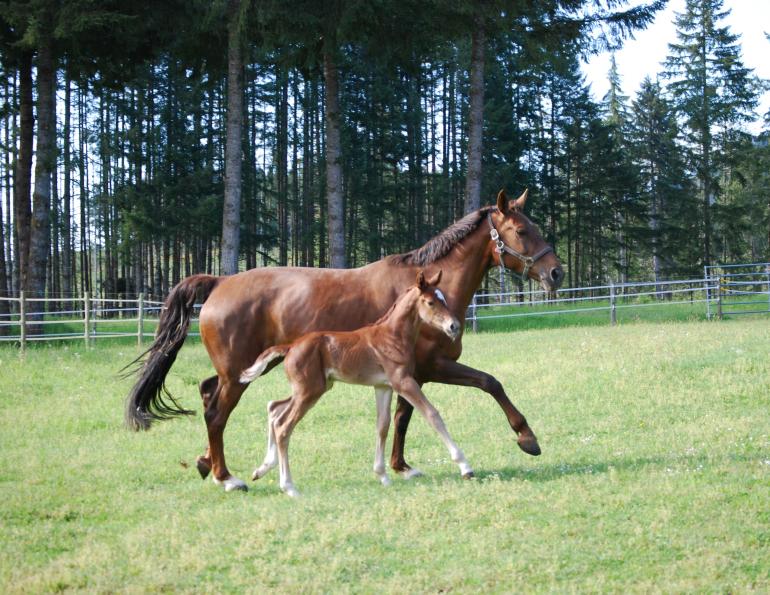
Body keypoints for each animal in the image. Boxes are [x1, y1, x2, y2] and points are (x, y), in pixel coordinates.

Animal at [240, 270, 469, 497]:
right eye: (430, 302)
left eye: (443, 299)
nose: (454, 326)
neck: (392, 336)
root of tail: (290, 347)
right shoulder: (403, 381)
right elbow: (432, 414)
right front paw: (465, 466)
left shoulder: (383, 386)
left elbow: (382, 425)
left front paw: (382, 476)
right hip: (309, 391)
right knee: (283, 426)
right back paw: (289, 487)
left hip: (312, 388)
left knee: (274, 408)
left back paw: (262, 469)